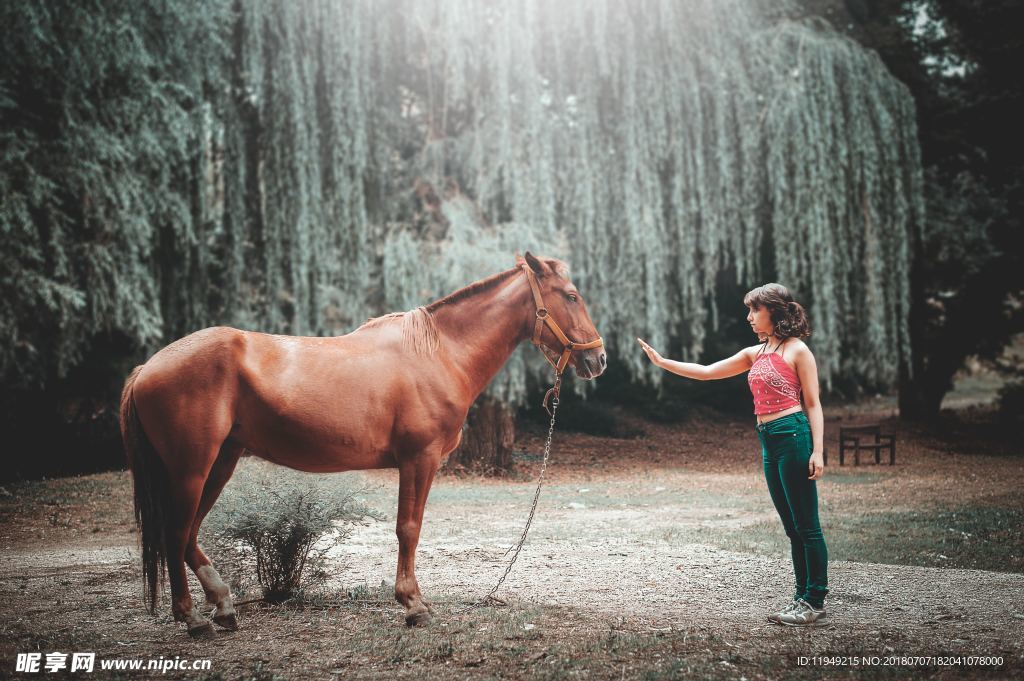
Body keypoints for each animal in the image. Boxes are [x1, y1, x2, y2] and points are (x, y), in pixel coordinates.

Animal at [119, 250, 602, 639]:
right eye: (572, 295)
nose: (598, 359)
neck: (438, 353)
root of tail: (147, 367)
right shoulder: (419, 459)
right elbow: (409, 528)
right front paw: (413, 605)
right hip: (191, 469)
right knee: (175, 532)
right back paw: (194, 619)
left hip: (220, 462)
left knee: (188, 534)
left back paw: (223, 607)